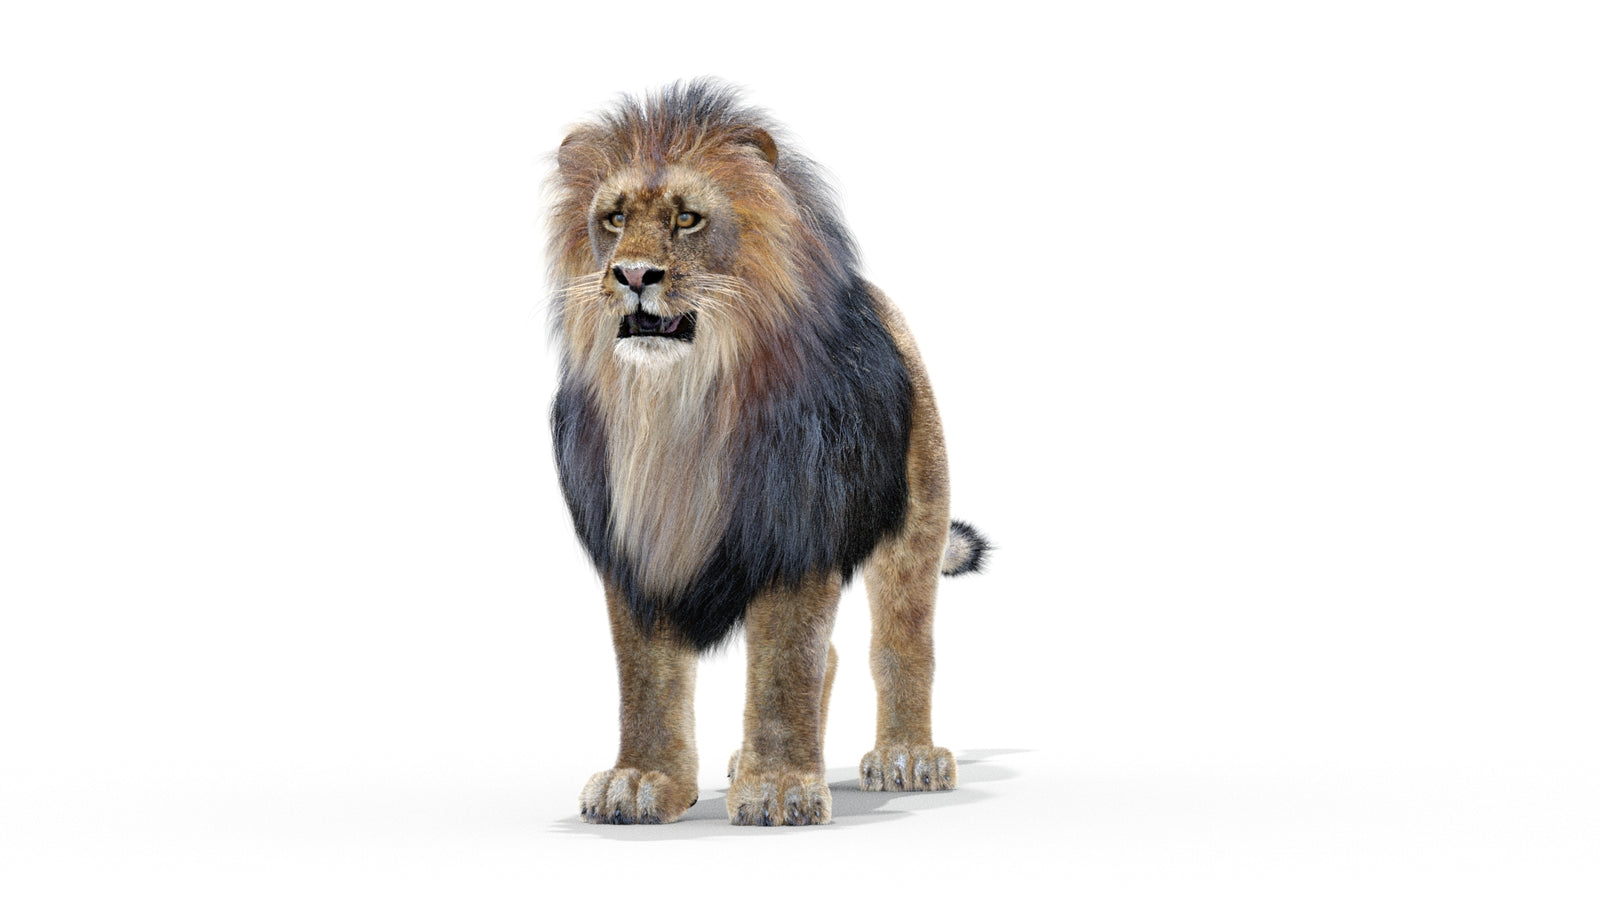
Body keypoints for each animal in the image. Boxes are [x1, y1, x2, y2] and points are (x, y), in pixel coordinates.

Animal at [546, 79, 988, 826]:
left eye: (688, 219)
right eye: (613, 218)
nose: (632, 274)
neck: (675, 409)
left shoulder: (796, 529)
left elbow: (785, 663)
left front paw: (780, 788)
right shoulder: (632, 543)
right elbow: (645, 674)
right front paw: (641, 781)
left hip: (918, 515)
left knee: (902, 643)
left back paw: (908, 757)